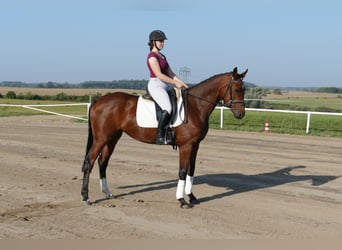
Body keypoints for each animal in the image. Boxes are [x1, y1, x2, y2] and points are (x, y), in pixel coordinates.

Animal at [83, 67, 248, 209]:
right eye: (236, 89)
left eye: (244, 89)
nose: (241, 114)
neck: (195, 106)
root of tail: (98, 101)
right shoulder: (186, 146)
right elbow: (182, 171)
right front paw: (182, 200)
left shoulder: (195, 145)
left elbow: (191, 170)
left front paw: (192, 197)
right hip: (101, 139)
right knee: (89, 162)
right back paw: (85, 197)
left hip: (112, 138)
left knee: (102, 162)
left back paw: (107, 193)